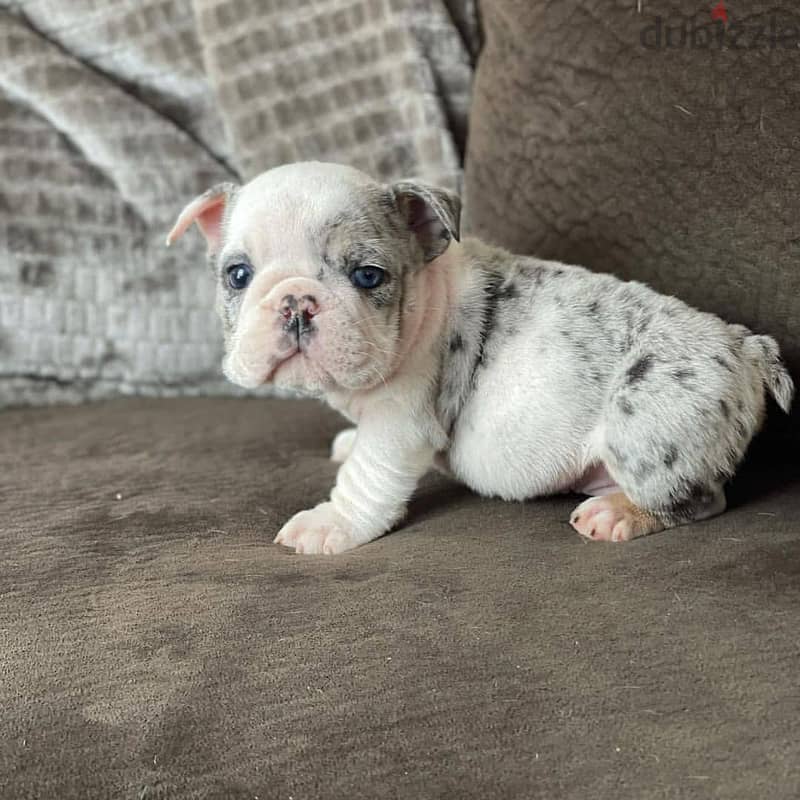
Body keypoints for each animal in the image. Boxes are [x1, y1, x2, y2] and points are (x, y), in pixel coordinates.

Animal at [169, 160, 792, 552]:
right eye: (237, 274)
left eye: (367, 276)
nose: (297, 302)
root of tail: (747, 346)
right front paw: (345, 443)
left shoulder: (401, 422)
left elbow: (367, 477)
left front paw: (332, 524)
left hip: (644, 428)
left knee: (702, 498)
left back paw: (619, 513)